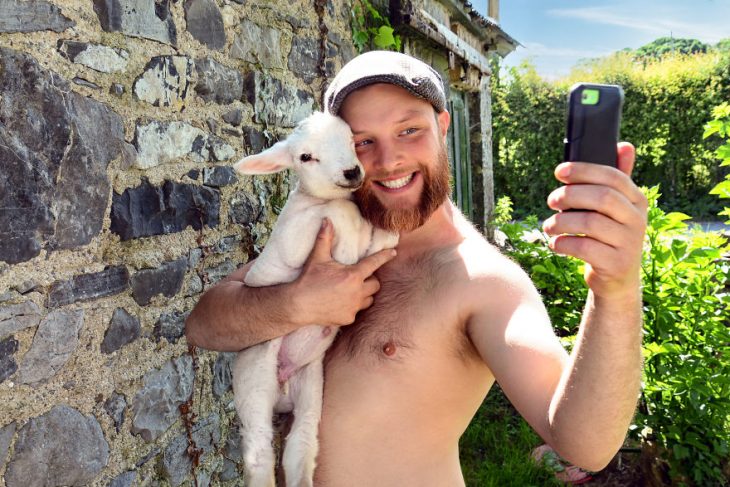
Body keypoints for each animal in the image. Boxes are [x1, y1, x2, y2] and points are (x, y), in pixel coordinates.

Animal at [230, 111, 398, 487]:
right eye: (305, 157)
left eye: (352, 140)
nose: (351, 172)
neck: (313, 199)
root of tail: (281, 385)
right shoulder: (291, 241)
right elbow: (340, 212)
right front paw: (347, 241)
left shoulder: (374, 251)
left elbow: (382, 238)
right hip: (253, 383)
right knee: (258, 453)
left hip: (309, 390)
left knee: (300, 446)